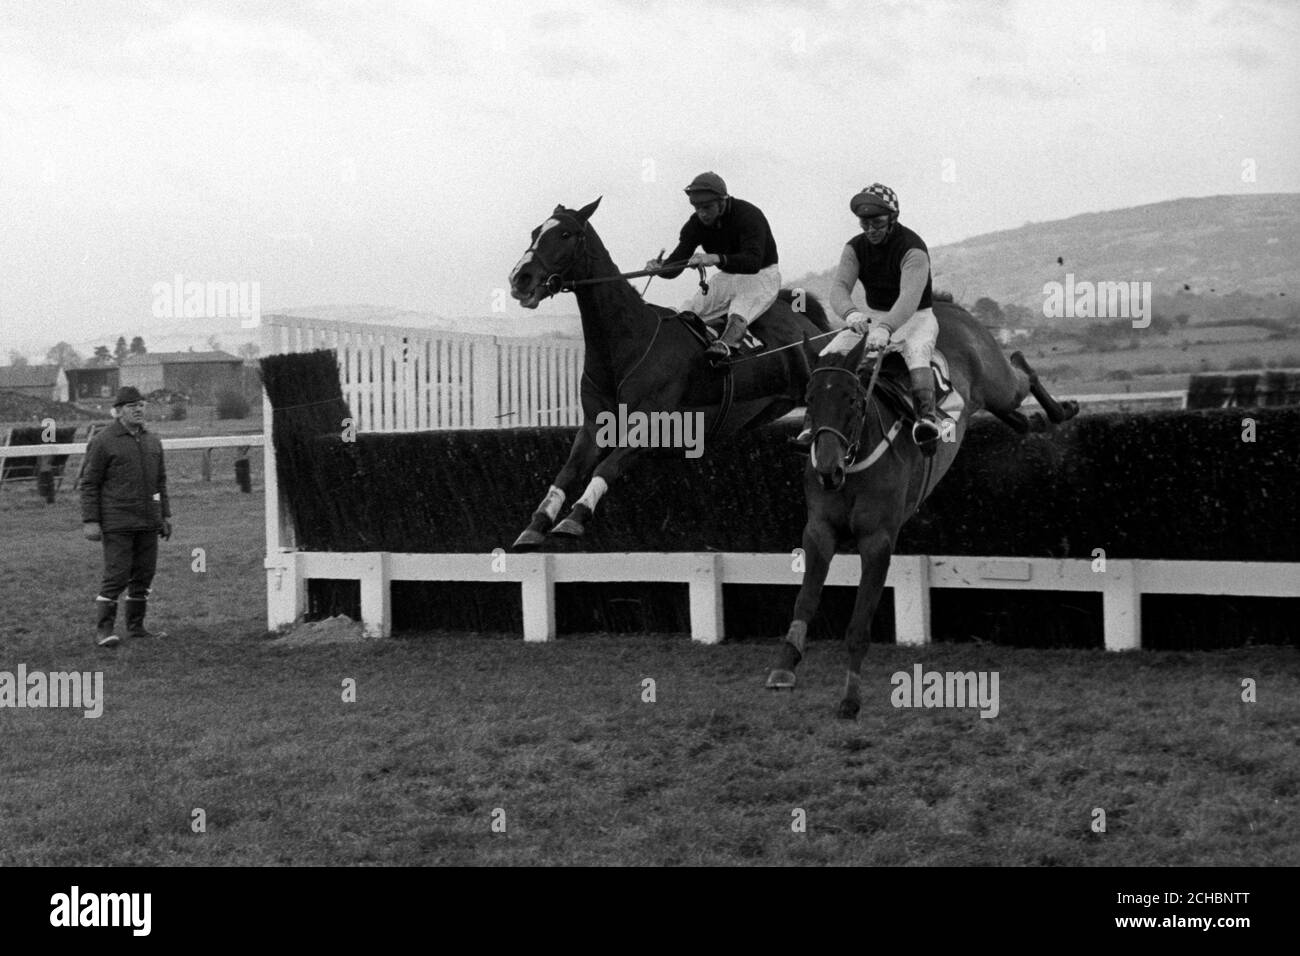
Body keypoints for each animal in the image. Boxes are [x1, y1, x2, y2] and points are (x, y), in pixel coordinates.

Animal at [506, 197, 832, 548]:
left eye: (565, 234)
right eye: (535, 232)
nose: (520, 278)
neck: (624, 344)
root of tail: (801, 317)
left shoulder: (650, 424)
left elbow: (606, 467)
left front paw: (575, 517)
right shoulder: (595, 424)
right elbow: (567, 472)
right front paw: (536, 523)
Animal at [759, 300, 1076, 717]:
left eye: (852, 400)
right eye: (810, 400)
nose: (827, 470)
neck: (854, 462)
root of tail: (944, 302)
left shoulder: (877, 540)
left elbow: (858, 625)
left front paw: (850, 698)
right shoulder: (819, 531)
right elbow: (806, 600)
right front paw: (784, 666)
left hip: (997, 381)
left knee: (1022, 370)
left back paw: (1061, 408)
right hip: (986, 398)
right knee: (1016, 417)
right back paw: (1036, 418)